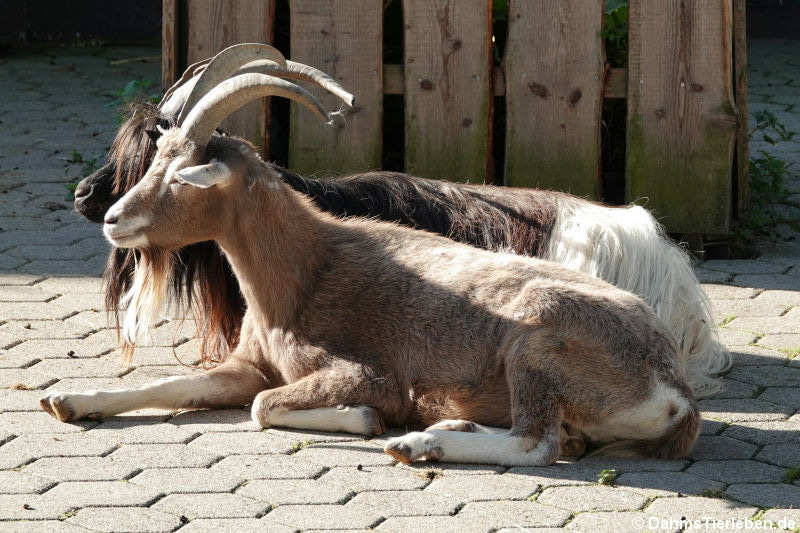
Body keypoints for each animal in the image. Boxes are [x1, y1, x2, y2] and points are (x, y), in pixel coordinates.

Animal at [42, 72, 700, 464]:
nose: (111, 217)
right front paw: (68, 400)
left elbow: (265, 407)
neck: (310, 263)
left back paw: (419, 442)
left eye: (182, 174)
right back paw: (451, 433)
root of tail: (675, 389)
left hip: (534, 345)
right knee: (557, 438)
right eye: (154, 158)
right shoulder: (247, 365)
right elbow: (170, 384)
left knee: (537, 444)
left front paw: (364, 419)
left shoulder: (365, 373)